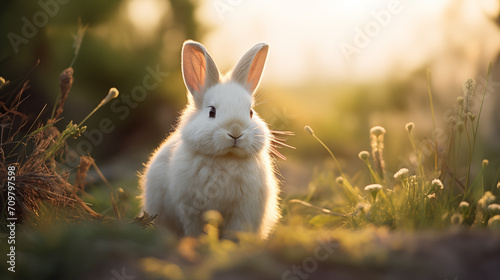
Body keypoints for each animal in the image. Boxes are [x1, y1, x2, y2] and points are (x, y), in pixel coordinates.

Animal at [142, 40, 282, 238]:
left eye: (251, 112)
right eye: (212, 112)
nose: (235, 131)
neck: (226, 158)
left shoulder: (242, 211)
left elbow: (235, 231)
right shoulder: (192, 208)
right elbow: (195, 229)